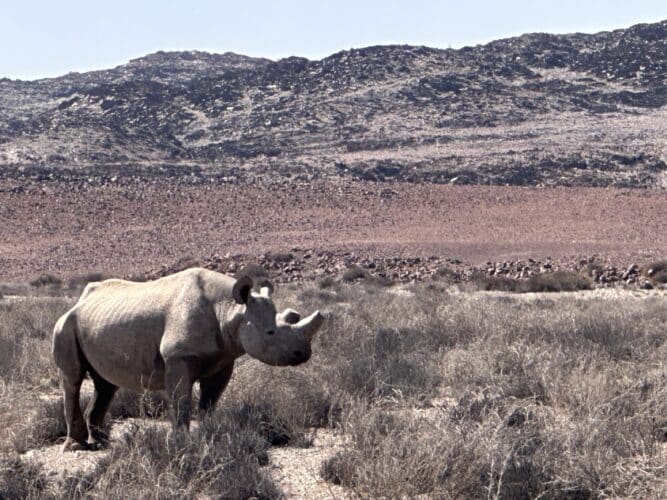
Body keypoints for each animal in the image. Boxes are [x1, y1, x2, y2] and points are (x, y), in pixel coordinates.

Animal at [52, 267, 325, 451]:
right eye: (271, 333)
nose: (303, 353)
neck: (231, 308)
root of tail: (79, 302)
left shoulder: (223, 358)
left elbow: (210, 401)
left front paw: (208, 436)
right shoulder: (178, 355)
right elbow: (182, 401)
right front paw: (180, 444)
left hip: (98, 323)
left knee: (106, 384)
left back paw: (104, 443)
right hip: (66, 325)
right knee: (73, 378)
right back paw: (75, 447)